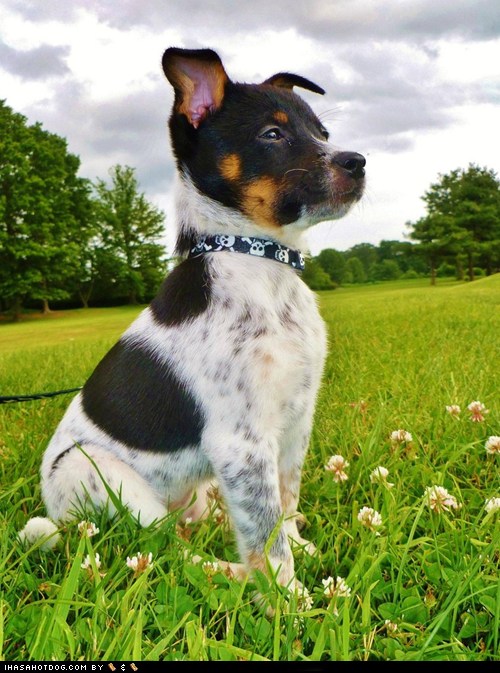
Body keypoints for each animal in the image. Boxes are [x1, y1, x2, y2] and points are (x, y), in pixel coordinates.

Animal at [22, 47, 364, 592]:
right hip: (99, 476)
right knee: (165, 553)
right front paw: (290, 600)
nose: (359, 162)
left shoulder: (294, 425)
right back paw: (235, 574)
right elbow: (268, 540)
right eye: (273, 134)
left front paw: (305, 553)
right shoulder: (241, 443)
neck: (259, 264)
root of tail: (58, 518)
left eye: (323, 133)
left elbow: (285, 506)